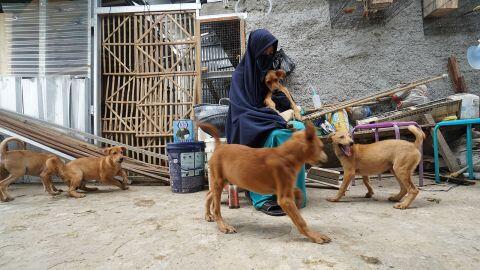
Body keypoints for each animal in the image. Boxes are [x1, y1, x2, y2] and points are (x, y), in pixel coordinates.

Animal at [198, 122, 330, 245]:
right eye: (321, 147)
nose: (326, 159)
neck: (287, 156)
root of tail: (219, 146)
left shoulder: (285, 189)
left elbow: (298, 191)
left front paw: (299, 199)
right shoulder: (285, 199)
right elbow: (300, 221)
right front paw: (315, 236)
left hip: (224, 180)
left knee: (209, 195)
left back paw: (208, 215)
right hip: (219, 181)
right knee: (216, 207)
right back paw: (223, 226)